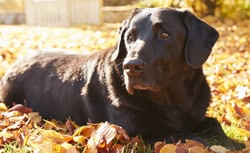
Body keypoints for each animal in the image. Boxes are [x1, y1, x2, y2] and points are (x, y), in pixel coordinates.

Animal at [0, 7, 243, 150]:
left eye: (165, 35)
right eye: (130, 36)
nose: (130, 66)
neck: (172, 101)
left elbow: (213, 123)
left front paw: (232, 143)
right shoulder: (140, 130)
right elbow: (190, 137)